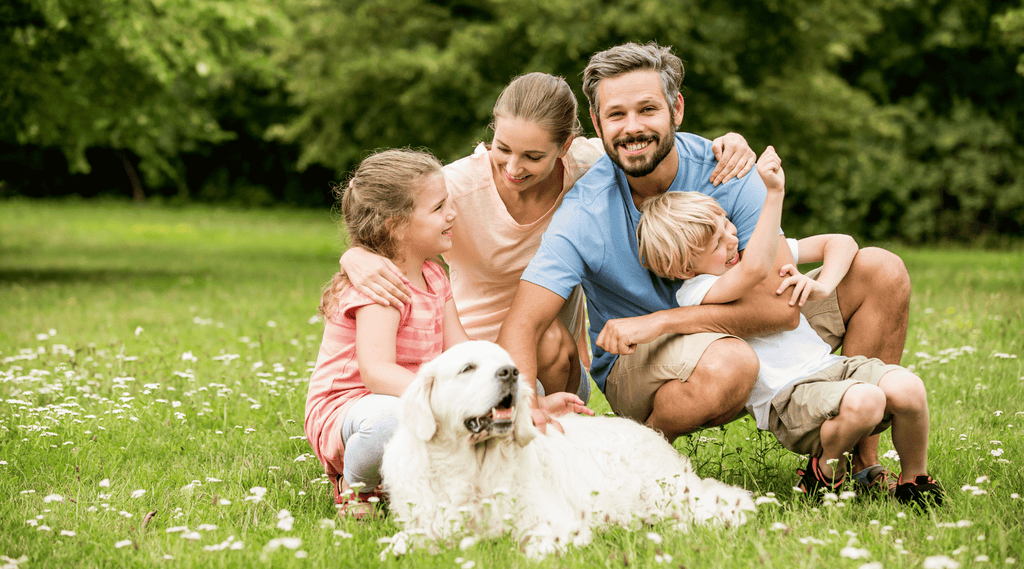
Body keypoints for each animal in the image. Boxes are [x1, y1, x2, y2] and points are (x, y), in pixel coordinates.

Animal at [380, 339, 757, 556]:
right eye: (467, 368)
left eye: (506, 362)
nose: (511, 372)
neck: (473, 469)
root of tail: (651, 434)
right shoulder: (423, 526)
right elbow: (396, 548)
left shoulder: (552, 524)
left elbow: (532, 551)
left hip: (662, 493)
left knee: (717, 504)